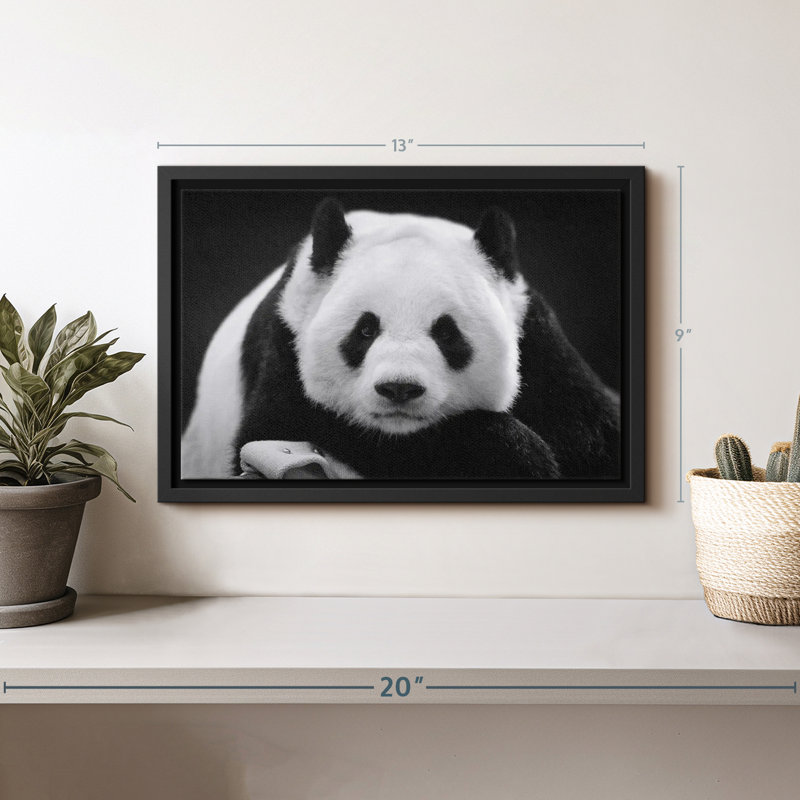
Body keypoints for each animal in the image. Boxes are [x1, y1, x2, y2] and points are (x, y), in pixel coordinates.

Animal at [181, 198, 620, 481]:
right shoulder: (287, 341)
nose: (399, 389)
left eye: (446, 332)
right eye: (365, 329)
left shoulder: (538, 340)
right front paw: (518, 456)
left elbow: (595, 436)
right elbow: (281, 424)